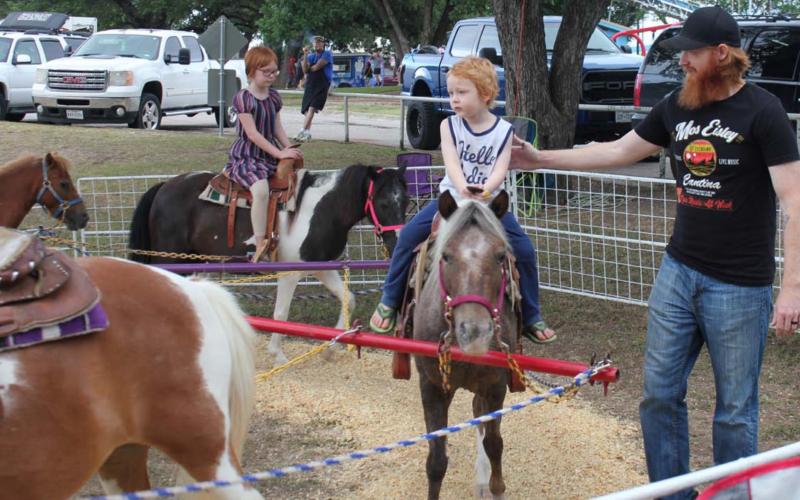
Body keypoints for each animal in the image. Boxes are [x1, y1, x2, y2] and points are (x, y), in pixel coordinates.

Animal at [128, 164, 409, 364]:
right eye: (383, 203)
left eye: (405, 202)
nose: (398, 242)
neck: (323, 208)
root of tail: (164, 187)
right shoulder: (291, 272)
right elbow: (281, 314)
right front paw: (278, 355)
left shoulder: (321, 266)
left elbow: (348, 299)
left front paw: (330, 350)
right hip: (169, 258)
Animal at [412, 190, 519, 500]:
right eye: (446, 256)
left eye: (500, 257)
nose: (475, 332)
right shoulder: (432, 387)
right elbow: (436, 461)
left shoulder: (495, 386)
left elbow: (494, 444)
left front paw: (497, 489)